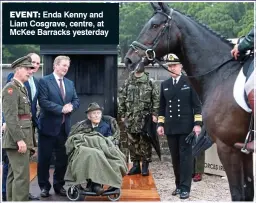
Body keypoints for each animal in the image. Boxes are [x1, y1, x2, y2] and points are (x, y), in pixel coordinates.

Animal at [124, 1, 254, 201]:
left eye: (154, 25)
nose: (129, 59)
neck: (222, 74)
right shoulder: (243, 151)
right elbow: (247, 191)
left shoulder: (228, 148)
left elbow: (238, 194)